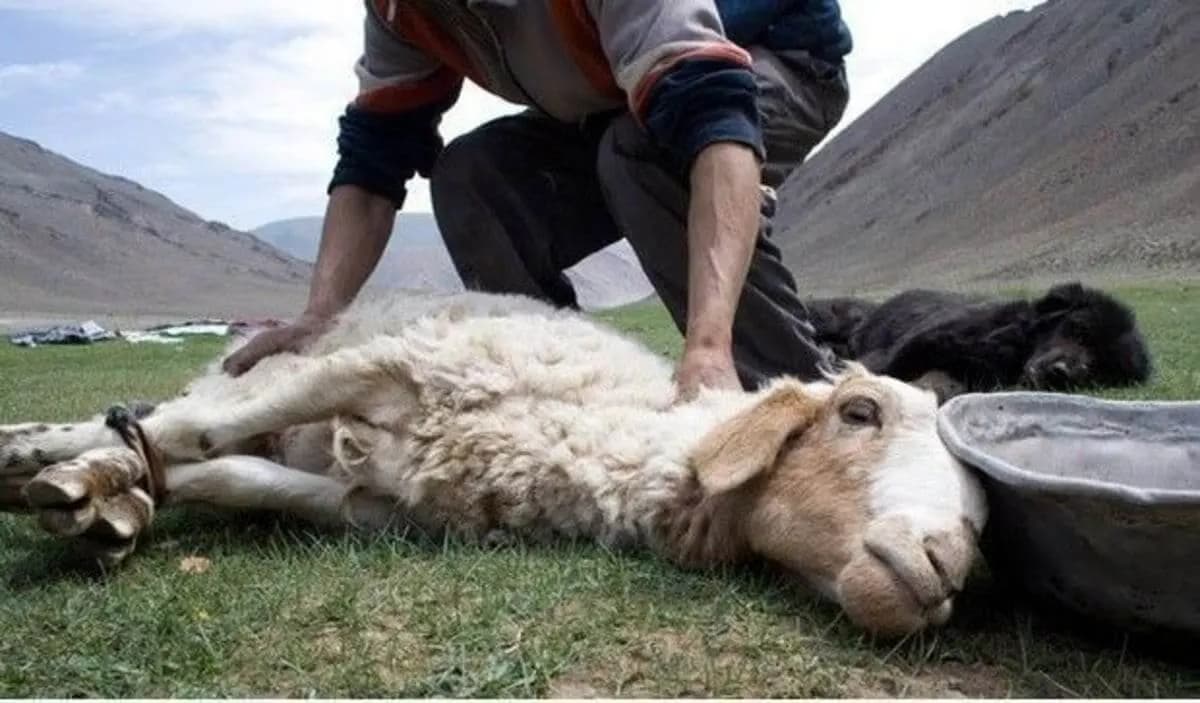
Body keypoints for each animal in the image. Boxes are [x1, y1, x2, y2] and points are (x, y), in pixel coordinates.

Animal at [0, 290, 988, 637]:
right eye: (859, 411)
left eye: (979, 518)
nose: (946, 564)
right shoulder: (385, 365)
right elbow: (201, 433)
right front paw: (94, 465)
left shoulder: (385, 507)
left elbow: (238, 476)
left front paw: (145, 489)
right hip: (288, 355)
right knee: (174, 411)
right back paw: (52, 454)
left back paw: (109, 493)